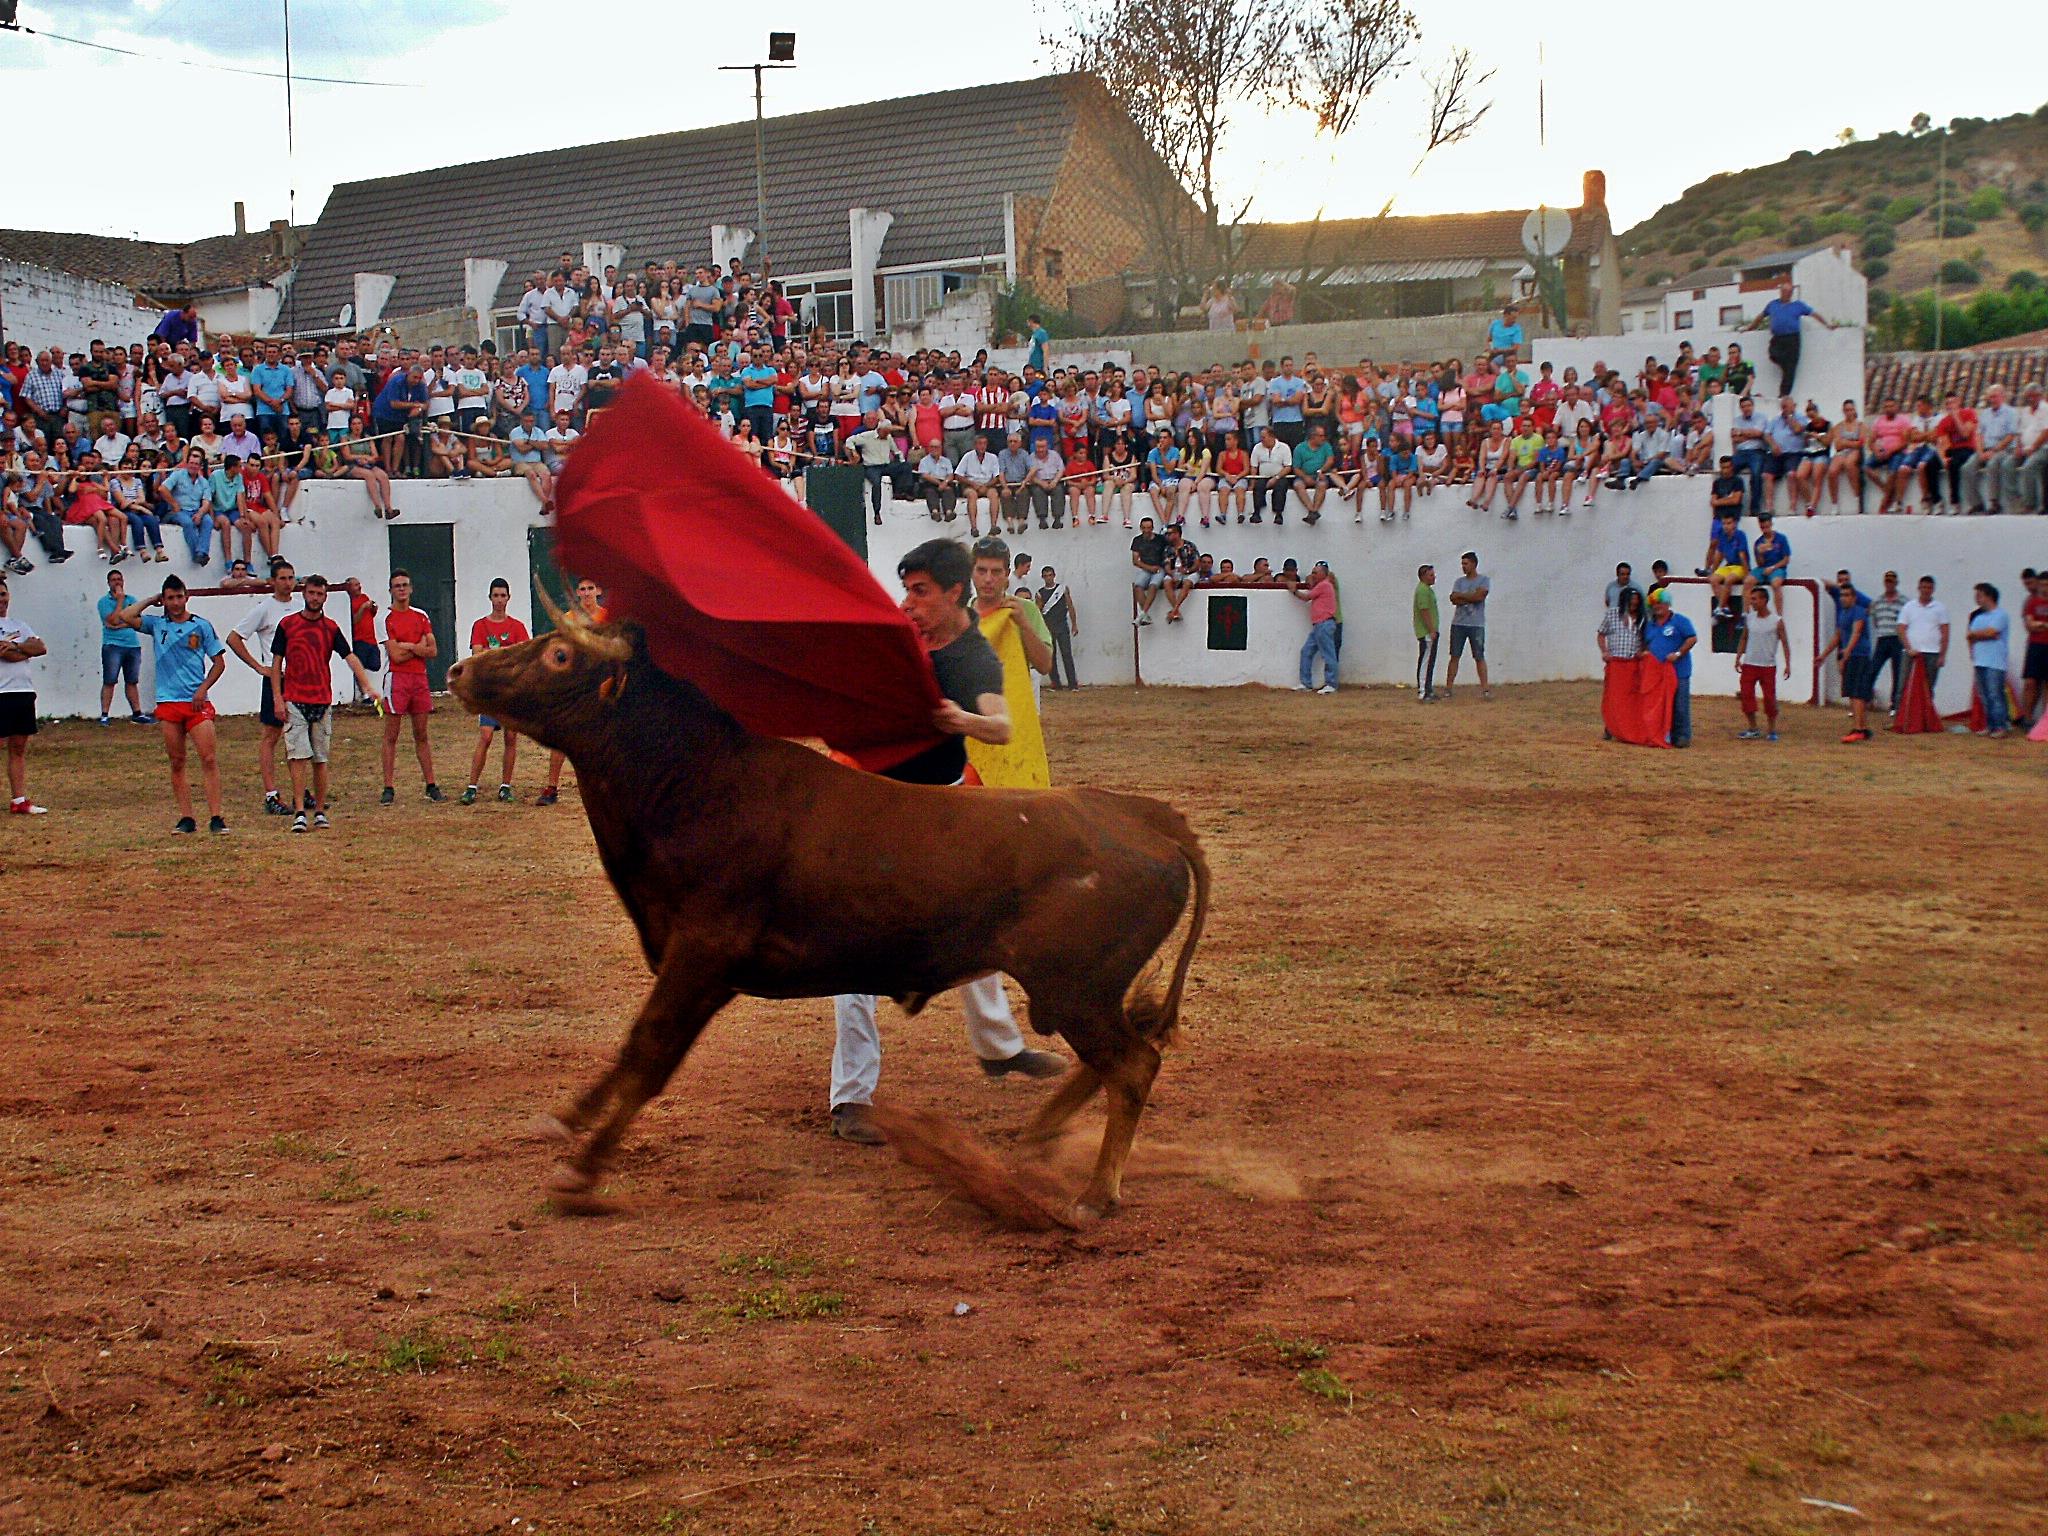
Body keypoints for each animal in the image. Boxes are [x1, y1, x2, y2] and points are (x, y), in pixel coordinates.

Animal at [448, 606, 1196, 1220]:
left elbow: (649, 1051)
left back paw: (1095, 1193)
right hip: (1080, 994)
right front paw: (567, 1120)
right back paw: (1041, 1137)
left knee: (1132, 1065)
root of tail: (1150, 819)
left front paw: (580, 1172)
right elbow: (638, 1051)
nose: (458, 669)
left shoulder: (701, 956)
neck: (694, 783)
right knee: (1117, 1058)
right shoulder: (701, 968)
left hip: (1075, 989)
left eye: (559, 655)